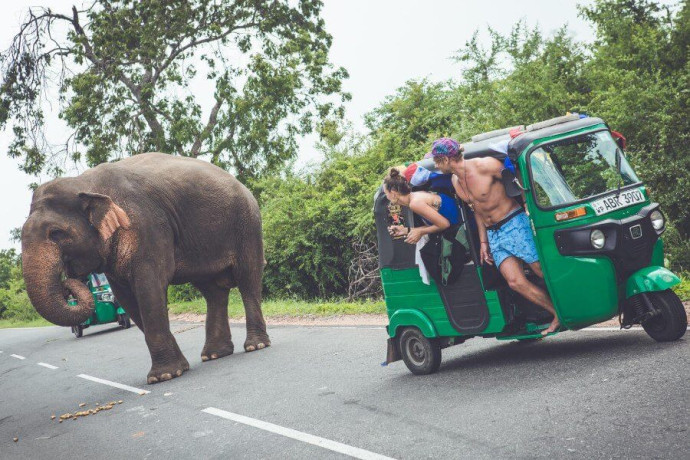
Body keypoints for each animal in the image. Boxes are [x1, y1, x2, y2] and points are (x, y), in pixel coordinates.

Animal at [21, 153, 268, 382]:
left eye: (56, 233)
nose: (68, 281)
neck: (84, 182)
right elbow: (126, 297)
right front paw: (176, 371)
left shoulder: (147, 225)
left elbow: (149, 285)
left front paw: (164, 376)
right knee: (213, 292)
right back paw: (214, 355)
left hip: (247, 224)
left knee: (247, 279)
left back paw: (255, 346)